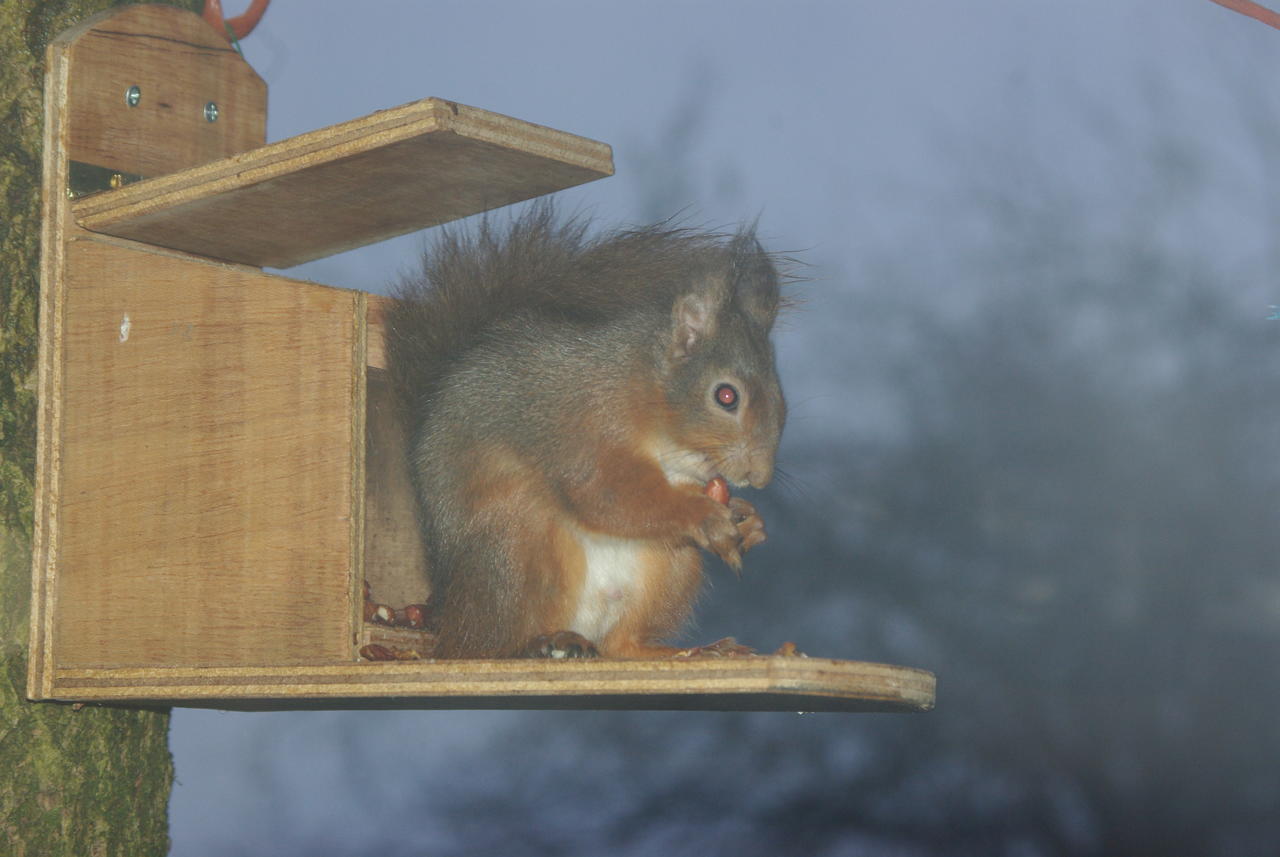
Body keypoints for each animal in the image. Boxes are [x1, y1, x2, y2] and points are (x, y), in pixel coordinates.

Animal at [384, 205, 783, 660]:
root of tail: (450, 619)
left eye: (780, 393)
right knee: (490, 645)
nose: (759, 475)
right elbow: (604, 494)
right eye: (726, 396)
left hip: (671, 564)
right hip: (514, 544)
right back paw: (539, 642)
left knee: (621, 645)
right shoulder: (581, 425)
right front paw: (703, 515)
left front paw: (749, 521)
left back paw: (693, 651)